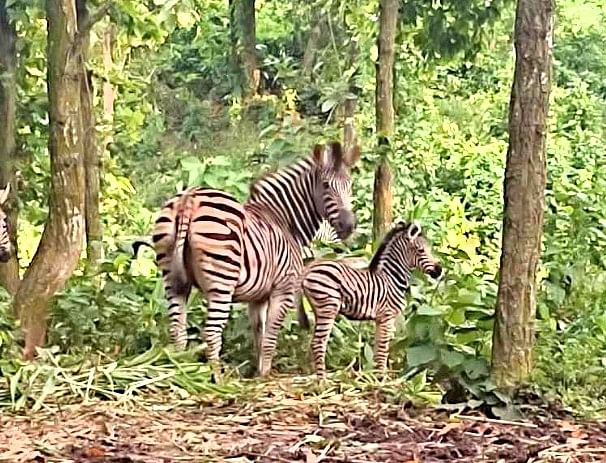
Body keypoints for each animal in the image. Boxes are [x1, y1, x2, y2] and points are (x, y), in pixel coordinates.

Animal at [151, 141, 360, 376]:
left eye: (350, 184)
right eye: (325, 185)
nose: (349, 225)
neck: (284, 221)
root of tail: (189, 198)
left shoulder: (257, 296)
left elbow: (259, 333)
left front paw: (258, 373)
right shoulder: (283, 289)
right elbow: (270, 336)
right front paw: (266, 374)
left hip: (172, 279)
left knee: (177, 330)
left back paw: (183, 373)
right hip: (221, 281)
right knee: (211, 334)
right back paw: (218, 379)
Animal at [298, 223, 442, 378]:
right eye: (421, 250)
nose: (439, 271)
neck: (391, 278)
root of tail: (309, 268)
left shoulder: (380, 319)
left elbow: (378, 349)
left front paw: (375, 377)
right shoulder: (387, 316)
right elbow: (383, 350)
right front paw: (381, 379)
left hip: (317, 308)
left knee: (312, 342)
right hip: (328, 307)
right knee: (319, 342)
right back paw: (323, 381)